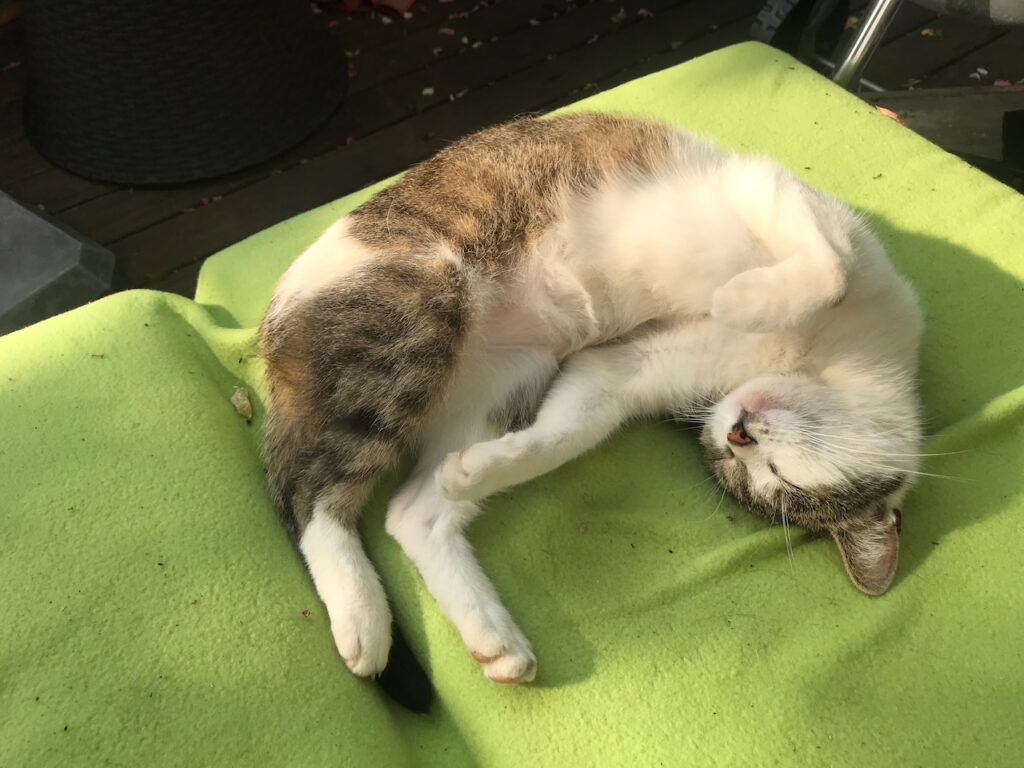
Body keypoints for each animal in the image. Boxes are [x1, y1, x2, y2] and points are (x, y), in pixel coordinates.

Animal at [259, 113, 923, 688]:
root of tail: (271, 333)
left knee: (410, 511)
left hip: (510, 377)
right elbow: (830, 269)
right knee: (309, 493)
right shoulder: (781, 198)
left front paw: (485, 469)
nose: (737, 433)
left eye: (767, 477)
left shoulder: (622, 366)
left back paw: (493, 633)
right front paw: (743, 298)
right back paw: (362, 617)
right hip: (420, 310)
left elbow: (571, 428)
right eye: (752, 467)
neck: (814, 358)